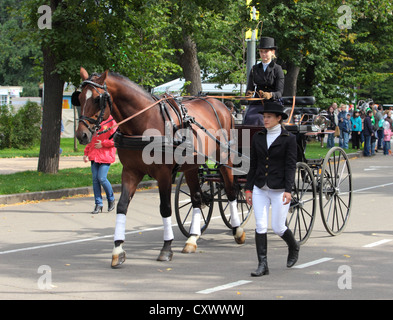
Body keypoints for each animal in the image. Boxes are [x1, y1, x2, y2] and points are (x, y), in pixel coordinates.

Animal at [74, 68, 243, 268]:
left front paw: (166, 248)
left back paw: (237, 230)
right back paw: (192, 239)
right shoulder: (131, 171)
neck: (144, 122)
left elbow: (165, 208)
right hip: (191, 167)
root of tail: (220, 105)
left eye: (96, 99)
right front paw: (118, 250)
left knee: (231, 192)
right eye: (80, 97)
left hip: (224, 159)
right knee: (196, 198)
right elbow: (122, 206)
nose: (82, 135)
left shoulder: (163, 174)